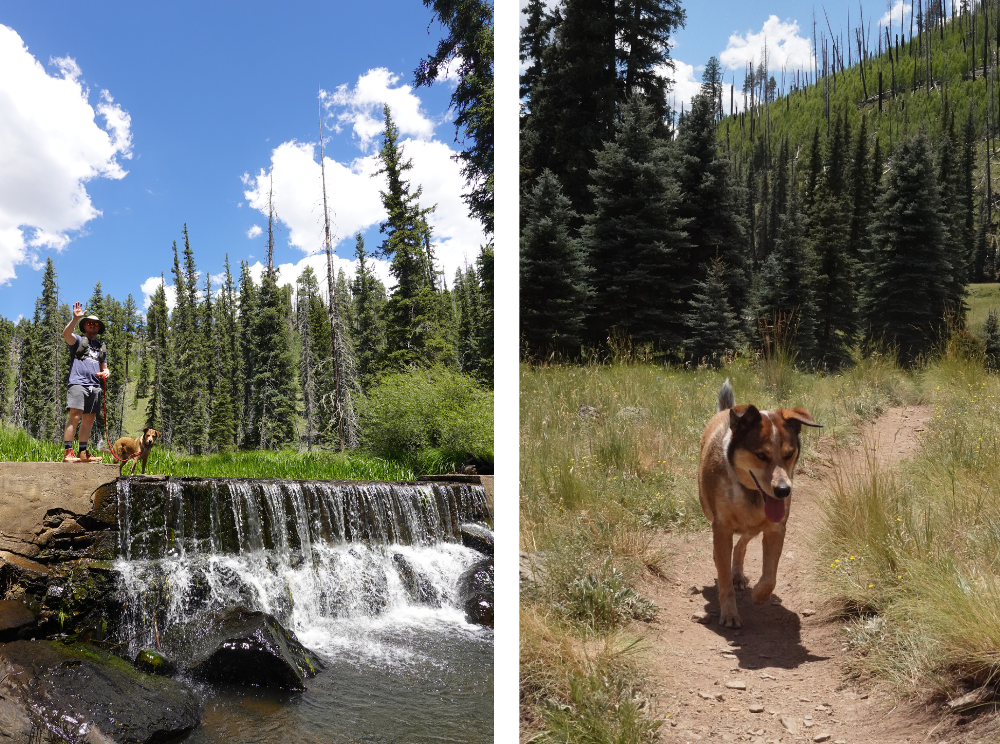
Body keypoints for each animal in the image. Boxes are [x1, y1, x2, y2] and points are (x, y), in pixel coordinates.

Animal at [696, 378, 820, 628]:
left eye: (789, 454)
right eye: (761, 455)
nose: (783, 490)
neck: (750, 493)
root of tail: (726, 411)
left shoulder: (776, 528)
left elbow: (770, 575)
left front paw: (759, 595)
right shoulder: (721, 527)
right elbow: (723, 578)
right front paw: (730, 613)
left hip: (754, 527)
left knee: (741, 543)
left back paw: (738, 574)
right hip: (708, 507)